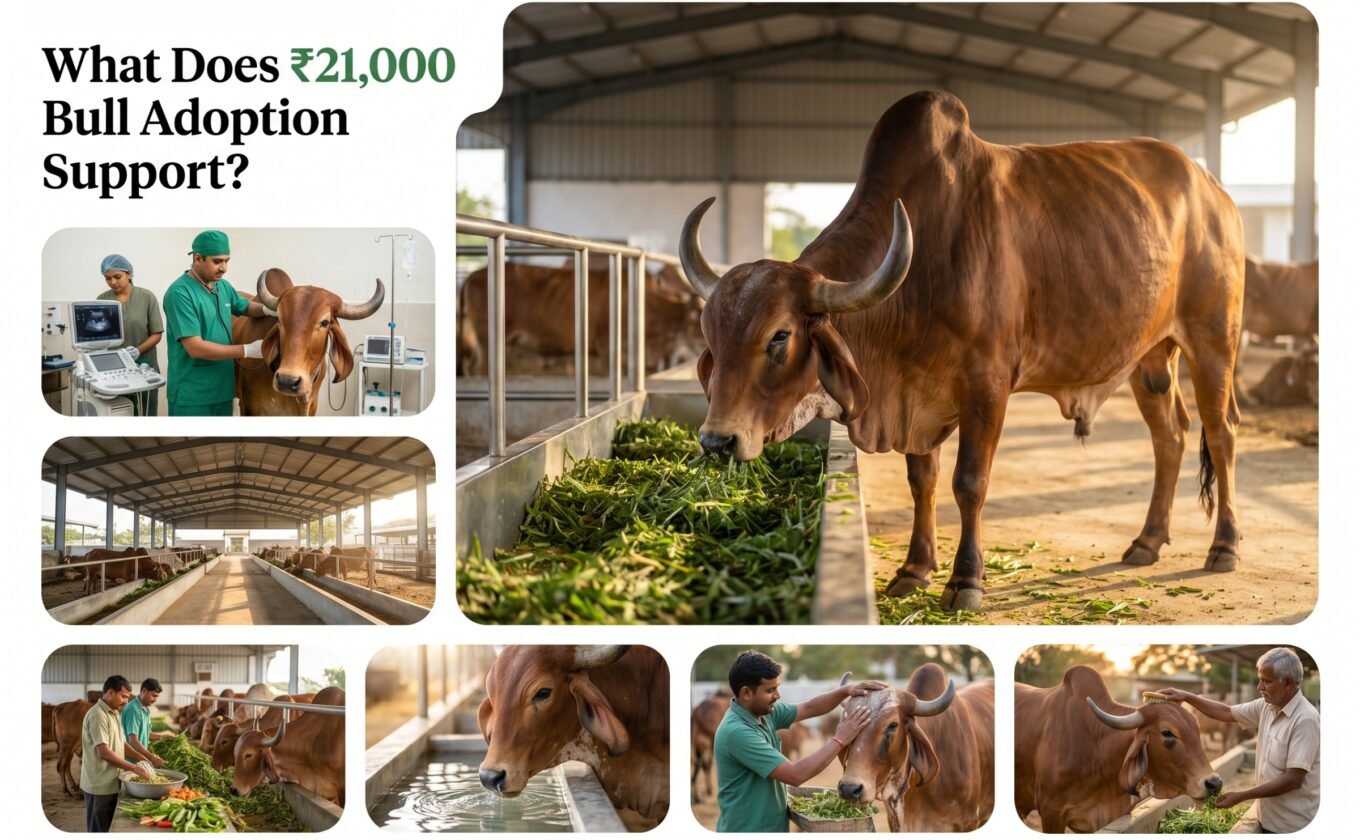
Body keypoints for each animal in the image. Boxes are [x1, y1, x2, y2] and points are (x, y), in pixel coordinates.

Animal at [676, 90, 1245, 612]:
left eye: (779, 335)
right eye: (711, 333)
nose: (717, 441)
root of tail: (1215, 194)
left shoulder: (987, 386)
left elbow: (969, 482)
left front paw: (965, 581)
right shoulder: (914, 393)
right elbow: (922, 481)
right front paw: (913, 570)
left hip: (1213, 341)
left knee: (1220, 434)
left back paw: (1224, 548)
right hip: (1150, 358)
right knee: (1169, 436)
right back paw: (1147, 541)